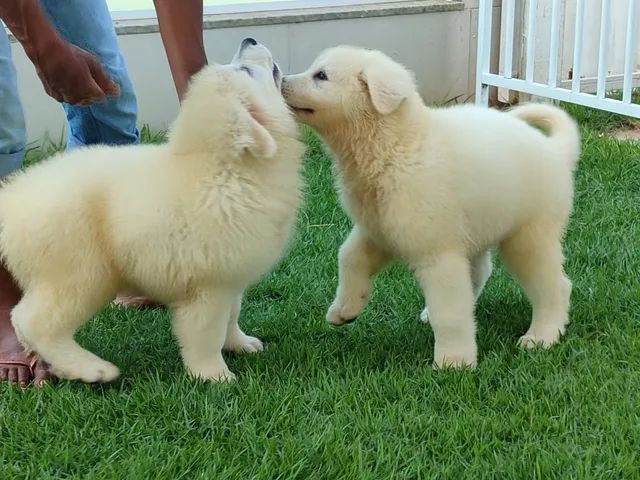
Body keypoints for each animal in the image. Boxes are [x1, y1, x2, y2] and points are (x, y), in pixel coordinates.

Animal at [0, 38, 304, 382]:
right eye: (245, 70)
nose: (248, 40)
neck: (226, 171)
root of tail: (12, 196)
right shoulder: (207, 287)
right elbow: (206, 333)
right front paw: (215, 376)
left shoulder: (230, 275)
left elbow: (232, 314)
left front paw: (240, 343)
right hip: (77, 273)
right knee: (33, 321)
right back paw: (92, 369)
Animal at [284, 47, 580, 368]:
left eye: (321, 76)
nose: (281, 80)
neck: (396, 146)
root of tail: (555, 150)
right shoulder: (378, 230)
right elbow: (349, 257)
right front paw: (344, 310)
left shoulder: (438, 253)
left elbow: (449, 312)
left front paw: (454, 363)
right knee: (481, 272)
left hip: (529, 237)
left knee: (553, 286)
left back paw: (542, 336)